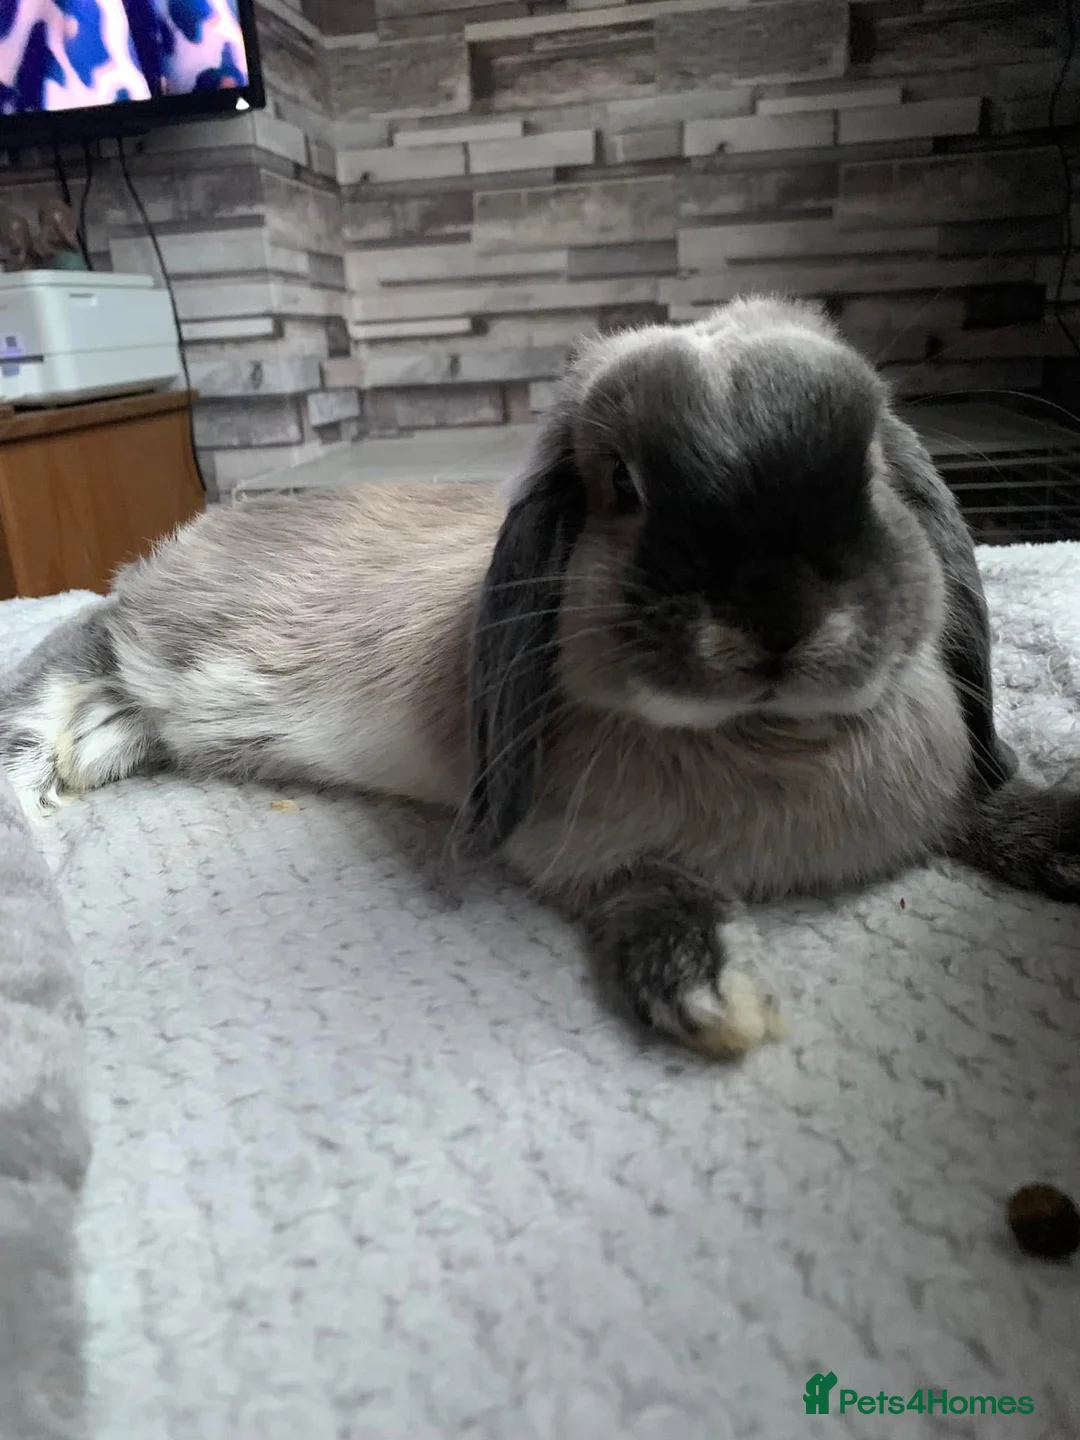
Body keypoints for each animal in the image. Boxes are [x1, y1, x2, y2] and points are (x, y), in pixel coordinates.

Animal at [2, 295, 1077, 1057]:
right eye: (623, 487)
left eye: (867, 465)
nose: (776, 616)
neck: (770, 734)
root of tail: (192, 538)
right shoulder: (571, 851)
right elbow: (648, 888)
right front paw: (708, 987)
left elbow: (988, 806)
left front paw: (1060, 836)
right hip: (139, 636)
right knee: (62, 665)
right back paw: (49, 780)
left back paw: (101, 746)